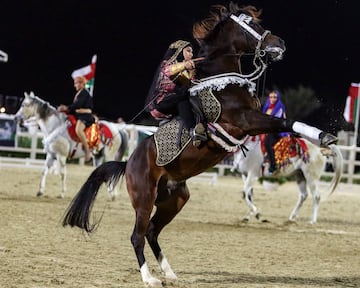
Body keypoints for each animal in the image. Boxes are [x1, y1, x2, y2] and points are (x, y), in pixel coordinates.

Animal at [62, 2, 338, 288]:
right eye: (250, 23)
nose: (279, 43)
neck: (222, 84)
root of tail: (129, 163)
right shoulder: (247, 121)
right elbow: (286, 121)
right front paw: (324, 137)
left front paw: (324, 139)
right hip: (144, 197)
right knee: (137, 235)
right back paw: (150, 278)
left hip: (175, 199)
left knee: (152, 232)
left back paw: (170, 273)